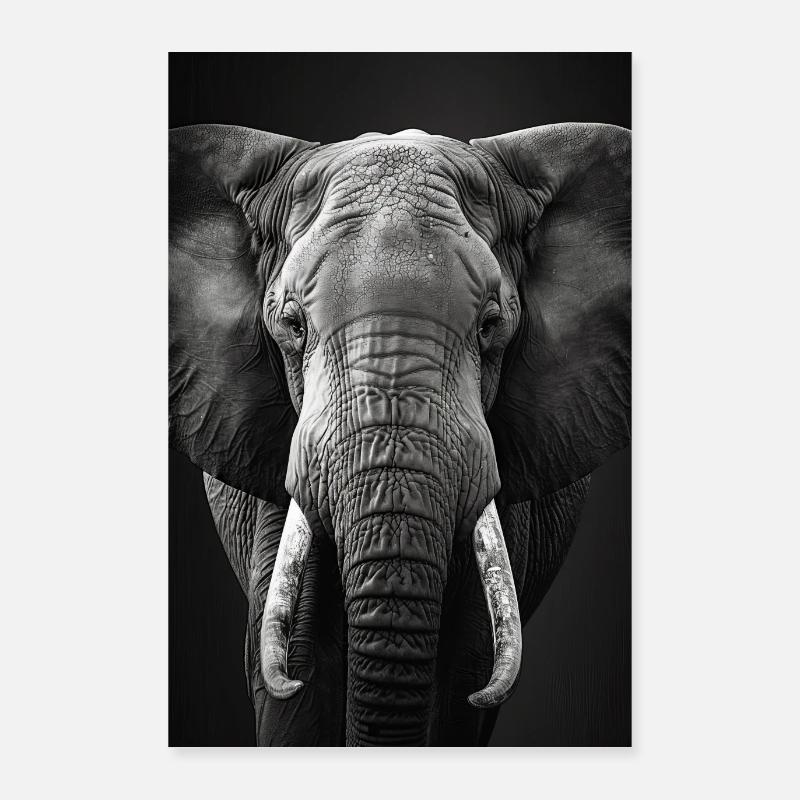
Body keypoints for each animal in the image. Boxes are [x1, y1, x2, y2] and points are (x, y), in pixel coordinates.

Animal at [169, 122, 631, 747]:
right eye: (291, 325)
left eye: (492, 326)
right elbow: (296, 670)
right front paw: (291, 680)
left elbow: (465, 669)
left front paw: (468, 689)